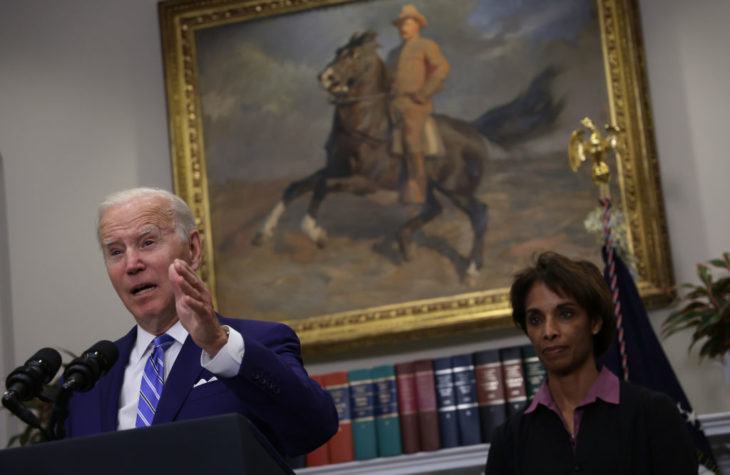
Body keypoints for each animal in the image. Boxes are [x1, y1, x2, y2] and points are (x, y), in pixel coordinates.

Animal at [252, 30, 561, 279]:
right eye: (338, 52)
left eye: (354, 55)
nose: (324, 77)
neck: (367, 126)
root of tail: (473, 128)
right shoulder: (336, 169)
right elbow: (297, 187)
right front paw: (264, 233)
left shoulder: (364, 183)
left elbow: (322, 187)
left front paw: (316, 233)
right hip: (428, 184)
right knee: (434, 209)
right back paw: (403, 243)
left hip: (457, 189)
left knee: (479, 214)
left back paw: (472, 268)